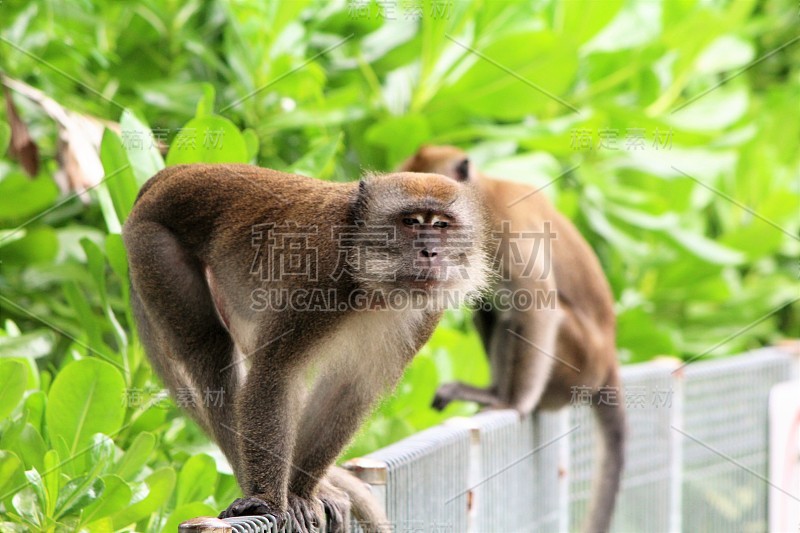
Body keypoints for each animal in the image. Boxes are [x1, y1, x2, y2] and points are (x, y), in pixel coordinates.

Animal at [122, 164, 490, 528]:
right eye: (411, 221)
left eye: (441, 224)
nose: (430, 252)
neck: (370, 277)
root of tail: (168, 175)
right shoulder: (320, 271)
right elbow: (276, 373)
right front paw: (268, 500)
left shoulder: (427, 311)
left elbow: (350, 388)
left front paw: (300, 492)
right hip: (154, 246)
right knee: (212, 356)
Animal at [404, 145, 620, 532]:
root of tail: (607, 359)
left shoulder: (508, 228)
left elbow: (537, 306)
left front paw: (511, 403)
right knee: (492, 309)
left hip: (576, 365)